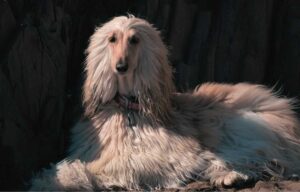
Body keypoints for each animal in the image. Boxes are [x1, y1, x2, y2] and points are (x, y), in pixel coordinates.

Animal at [29, 15, 300, 190]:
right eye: (112, 39)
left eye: (134, 39)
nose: (120, 67)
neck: (130, 110)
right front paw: (53, 179)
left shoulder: (175, 154)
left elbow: (120, 166)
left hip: (233, 123)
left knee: (256, 155)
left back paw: (230, 175)